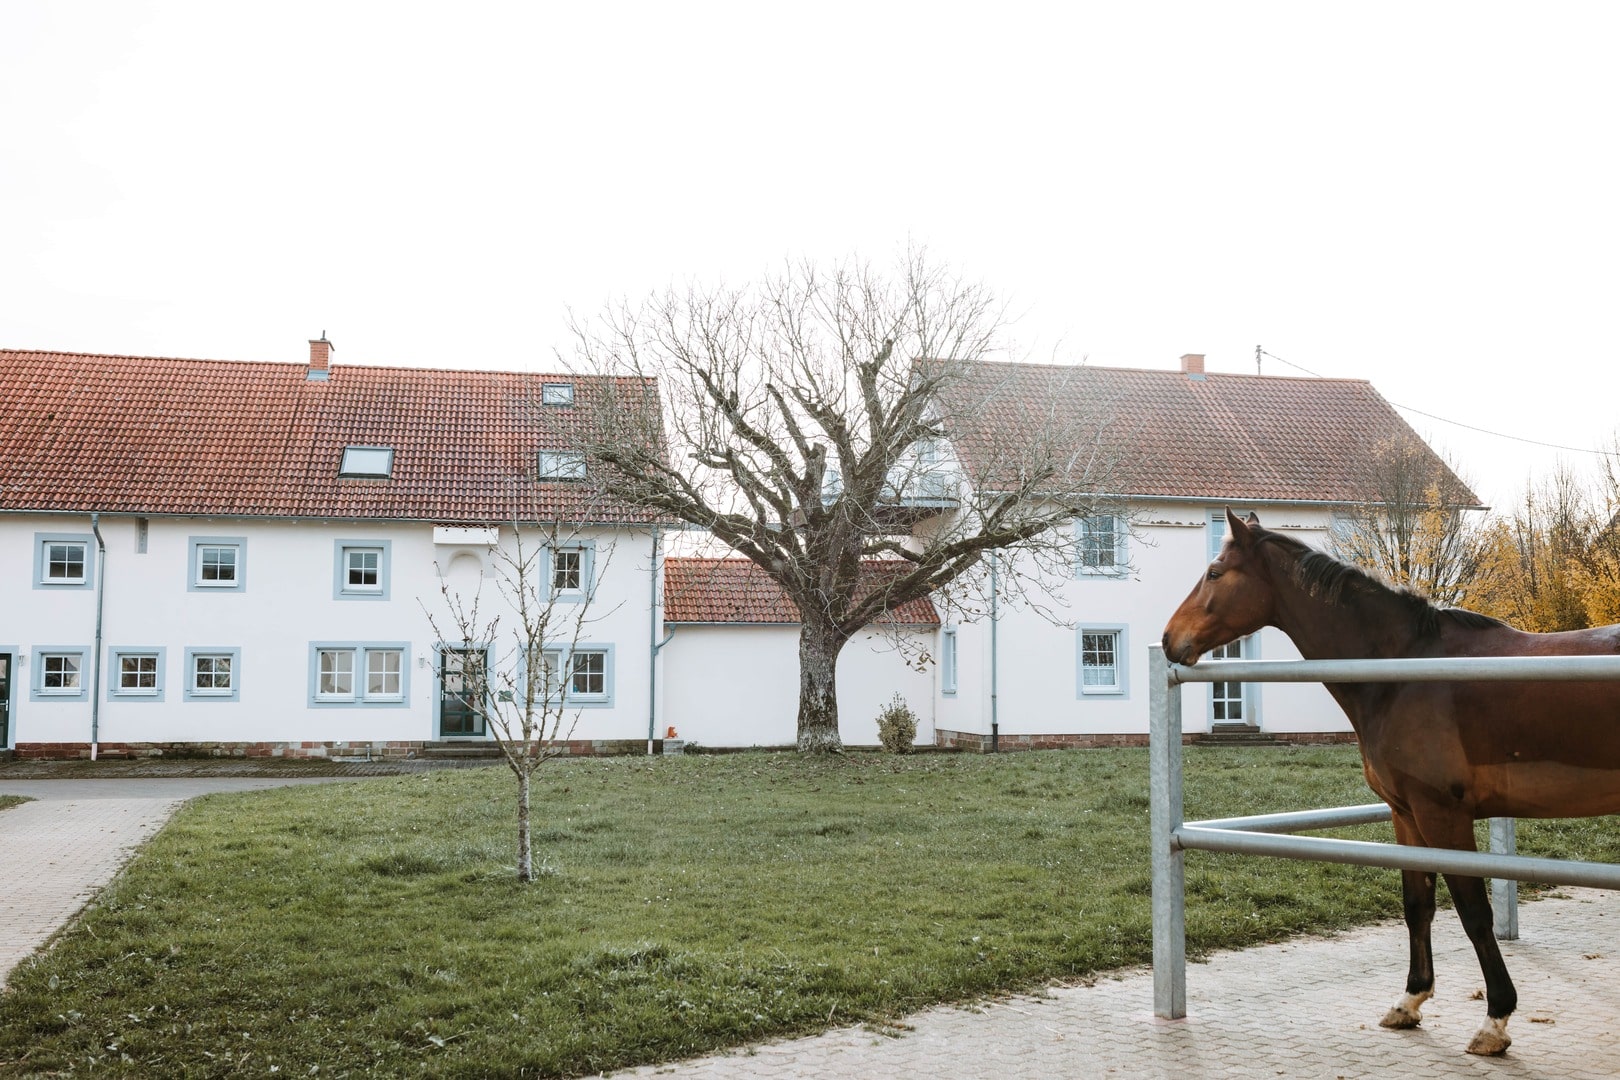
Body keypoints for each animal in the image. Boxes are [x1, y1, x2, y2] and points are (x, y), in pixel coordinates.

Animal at [1162, 509, 1620, 1056]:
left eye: (1214, 573)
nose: (1169, 639)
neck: (1402, 671)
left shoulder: (1443, 816)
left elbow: (1473, 912)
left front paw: (1495, 1020)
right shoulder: (1407, 815)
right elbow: (1417, 905)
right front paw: (1410, 1000)